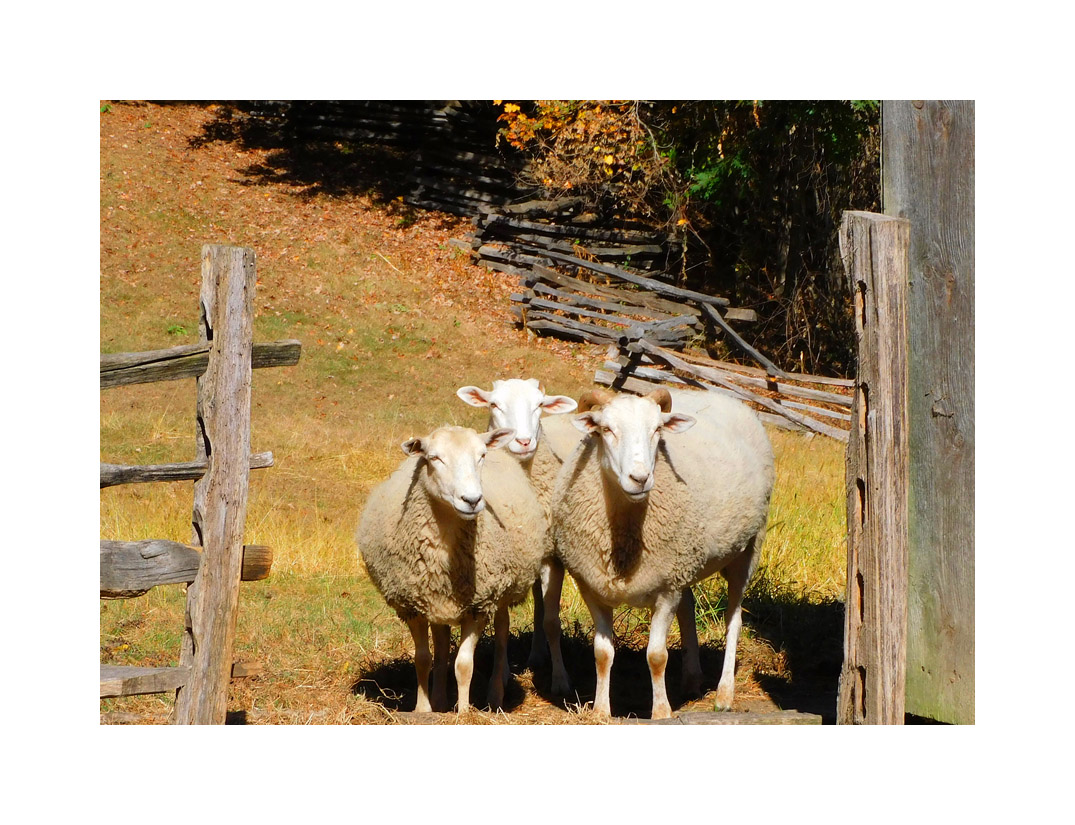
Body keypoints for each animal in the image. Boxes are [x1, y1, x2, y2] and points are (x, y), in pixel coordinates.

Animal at [356, 425, 545, 713]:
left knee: (502, 633)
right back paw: (439, 699)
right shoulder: (412, 605)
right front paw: (423, 709)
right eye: (434, 458)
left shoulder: (479, 605)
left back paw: (494, 694)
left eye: (481, 455)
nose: (472, 500)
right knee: (442, 644)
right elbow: (423, 659)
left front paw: (464, 712)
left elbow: (464, 665)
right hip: (437, 601)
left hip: (500, 593)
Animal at [456, 378, 579, 694]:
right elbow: (502, 625)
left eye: (539, 404)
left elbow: (552, 621)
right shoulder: (504, 567)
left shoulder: (553, 558)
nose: (523, 442)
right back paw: (535, 654)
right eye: (494, 404)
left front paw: (560, 680)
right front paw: (499, 679)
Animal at [549, 386, 774, 719]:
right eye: (606, 429)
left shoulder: (666, 590)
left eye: (657, 429)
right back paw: (692, 679)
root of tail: (720, 395)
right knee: (689, 608)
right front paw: (601, 711)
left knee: (734, 620)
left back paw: (724, 694)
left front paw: (661, 712)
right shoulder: (592, 586)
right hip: (686, 562)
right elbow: (602, 653)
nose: (640, 479)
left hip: (748, 548)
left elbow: (656, 656)